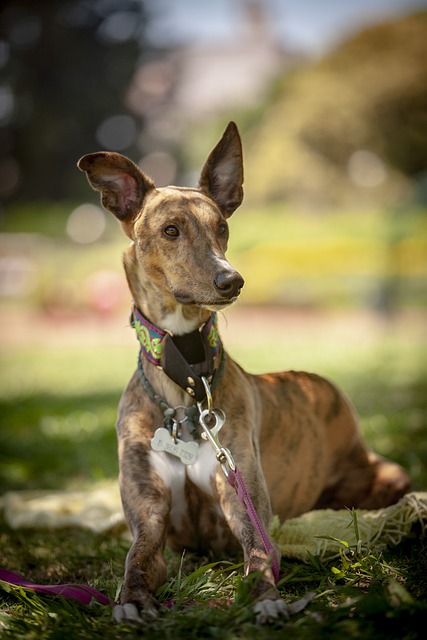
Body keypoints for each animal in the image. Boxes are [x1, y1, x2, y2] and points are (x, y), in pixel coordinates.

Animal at [77, 121, 412, 624]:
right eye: (171, 230)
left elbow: (258, 550)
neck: (187, 381)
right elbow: (137, 558)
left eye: (222, 227)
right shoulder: (150, 518)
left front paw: (265, 597)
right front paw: (132, 599)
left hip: (387, 478)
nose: (231, 281)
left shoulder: (241, 497)